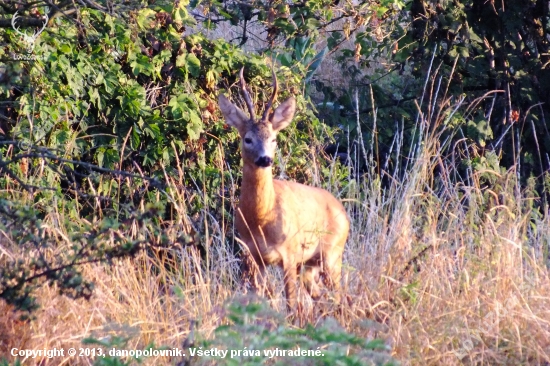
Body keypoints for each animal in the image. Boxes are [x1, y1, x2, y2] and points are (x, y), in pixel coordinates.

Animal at [219, 68, 352, 312]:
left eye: (273, 138)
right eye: (247, 138)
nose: (265, 159)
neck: (261, 219)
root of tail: (341, 209)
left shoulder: (289, 255)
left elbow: (290, 306)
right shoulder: (254, 257)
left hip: (333, 253)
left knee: (341, 296)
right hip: (311, 265)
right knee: (323, 296)